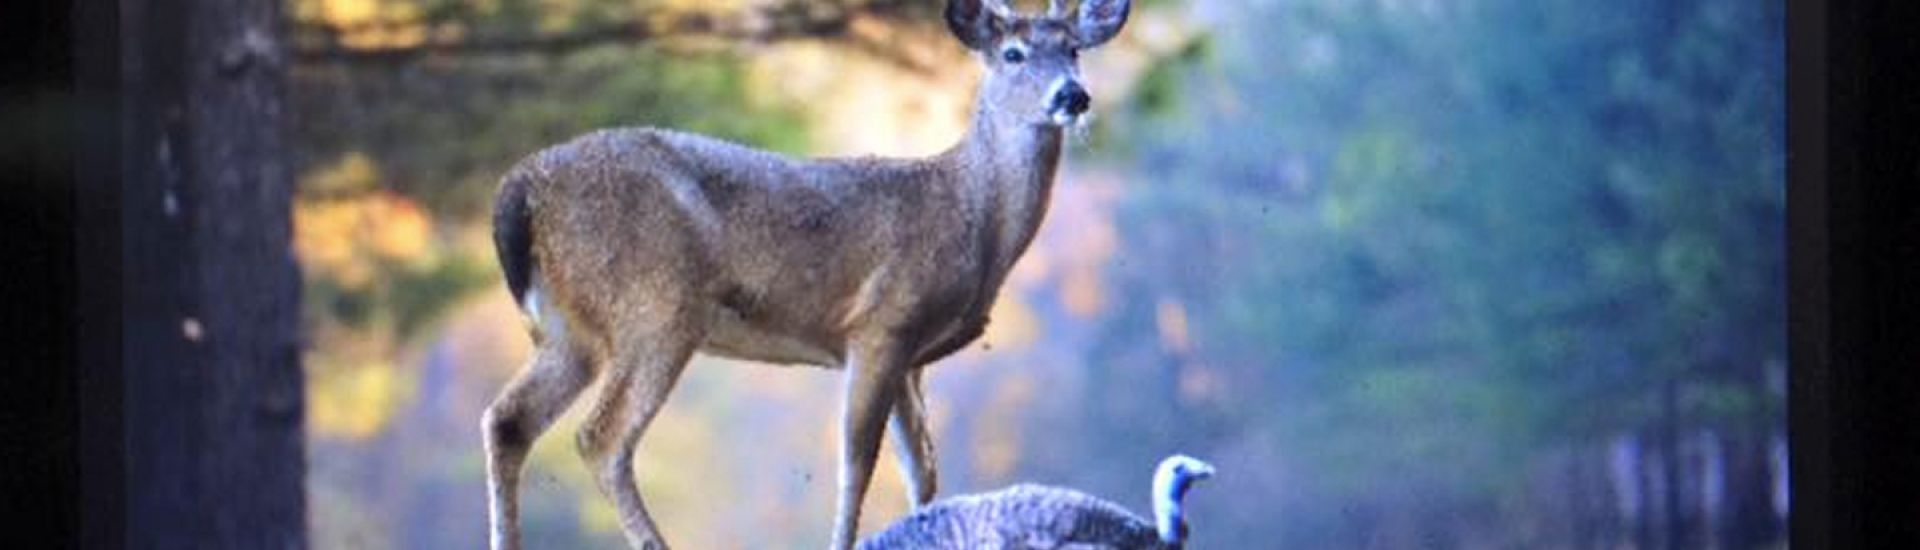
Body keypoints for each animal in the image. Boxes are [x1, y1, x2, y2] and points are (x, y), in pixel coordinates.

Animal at [481, 0, 1131, 548]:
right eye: (1013, 53)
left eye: (1074, 49)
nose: (1073, 96)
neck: (972, 219)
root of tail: (518, 190)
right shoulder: (882, 322)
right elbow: (858, 461)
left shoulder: (913, 357)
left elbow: (921, 470)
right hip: (654, 307)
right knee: (601, 437)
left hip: (570, 330)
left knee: (509, 421)